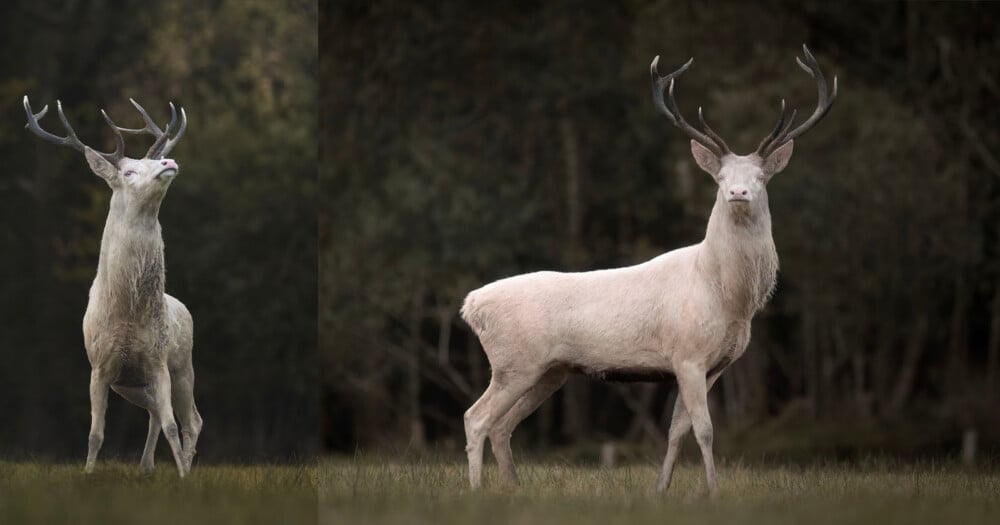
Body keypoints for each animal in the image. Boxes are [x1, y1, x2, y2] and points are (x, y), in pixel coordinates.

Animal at [23, 96, 202, 478]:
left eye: (153, 161)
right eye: (129, 171)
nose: (168, 161)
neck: (126, 314)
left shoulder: (157, 360)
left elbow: (172, 426)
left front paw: (182, 477)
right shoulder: (100, 365)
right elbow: (95, 433)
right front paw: (88, 474)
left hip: (183, 364)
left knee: (191, 420)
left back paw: (183, 467)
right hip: (132, 385)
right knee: (154, 413)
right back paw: (146, 467)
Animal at [460, 45, 836, 494]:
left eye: (761, 177)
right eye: (720, 177)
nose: (738, 192)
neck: (729, 297)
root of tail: (471, 306)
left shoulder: (713, 365)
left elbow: (678, 430)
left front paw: (663, 488)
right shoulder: (687, 354)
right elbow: (704, 429)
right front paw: (712, 491)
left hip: (549, 371)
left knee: (502, 426)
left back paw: (515, 489)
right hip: (514, 361)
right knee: (476, 417)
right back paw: (477, 490)